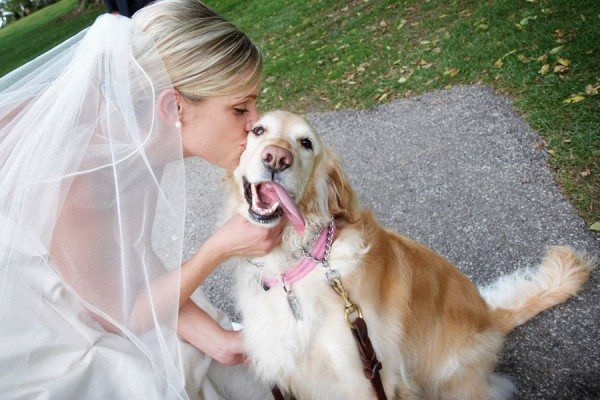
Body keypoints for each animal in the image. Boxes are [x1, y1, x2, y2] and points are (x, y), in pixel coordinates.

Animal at [221, 110, 596, 400]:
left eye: (306, 143)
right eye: (258, 130)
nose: (275, 157)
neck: (297, 259)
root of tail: (492, 317)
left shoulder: (367, 379)